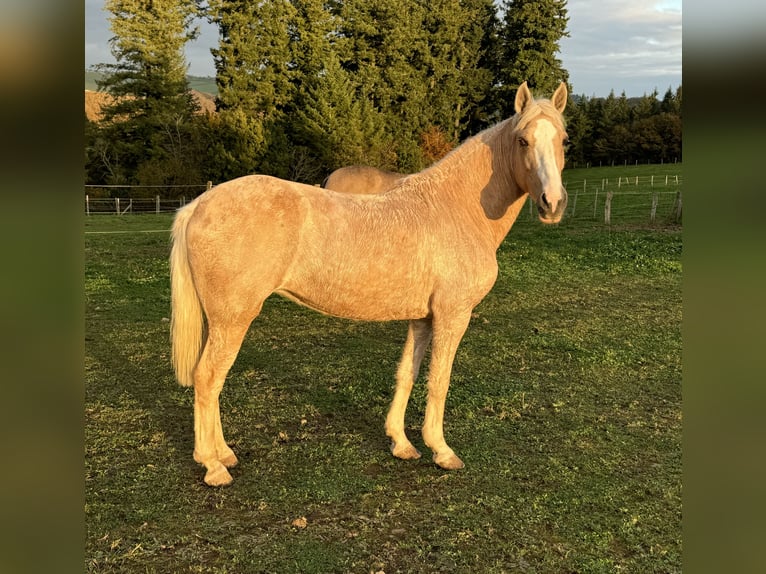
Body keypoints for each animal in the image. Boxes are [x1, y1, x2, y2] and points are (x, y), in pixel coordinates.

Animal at [172, 82, 568, 486]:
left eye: (564, 140)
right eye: (522, 140)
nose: (553, 204)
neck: (456, 209)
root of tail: (198, 205)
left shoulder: (422, 318)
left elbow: (407, 373)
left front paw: (402, 443)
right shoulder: (453, 315)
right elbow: (439, 379)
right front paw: (441, 451)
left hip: (221, 321)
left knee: (212, 381)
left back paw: (225, 453)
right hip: (233, 319)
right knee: (208, 378)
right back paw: (213, 466)